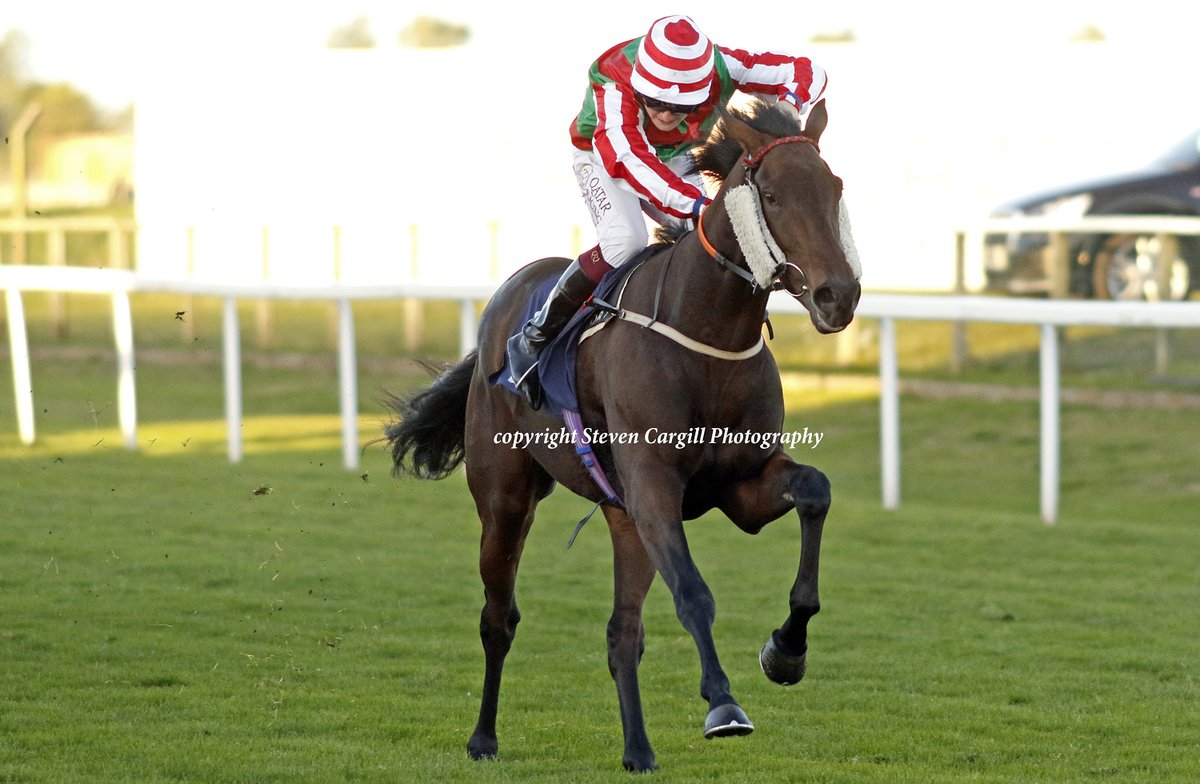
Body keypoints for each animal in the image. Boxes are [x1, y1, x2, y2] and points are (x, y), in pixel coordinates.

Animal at [384, 99, 864, 768]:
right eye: (769, 195)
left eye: (835, 187)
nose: (838, 295)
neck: (706, 334)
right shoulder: (653, 485)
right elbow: (693, 593)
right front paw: (723, 704)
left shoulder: (739, 485)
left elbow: (815, 491)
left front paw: (786, 652)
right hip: (506, 498)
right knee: (498, 618)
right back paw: (483, 737)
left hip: (621, 519)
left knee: (622, 634)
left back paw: (638, 750)